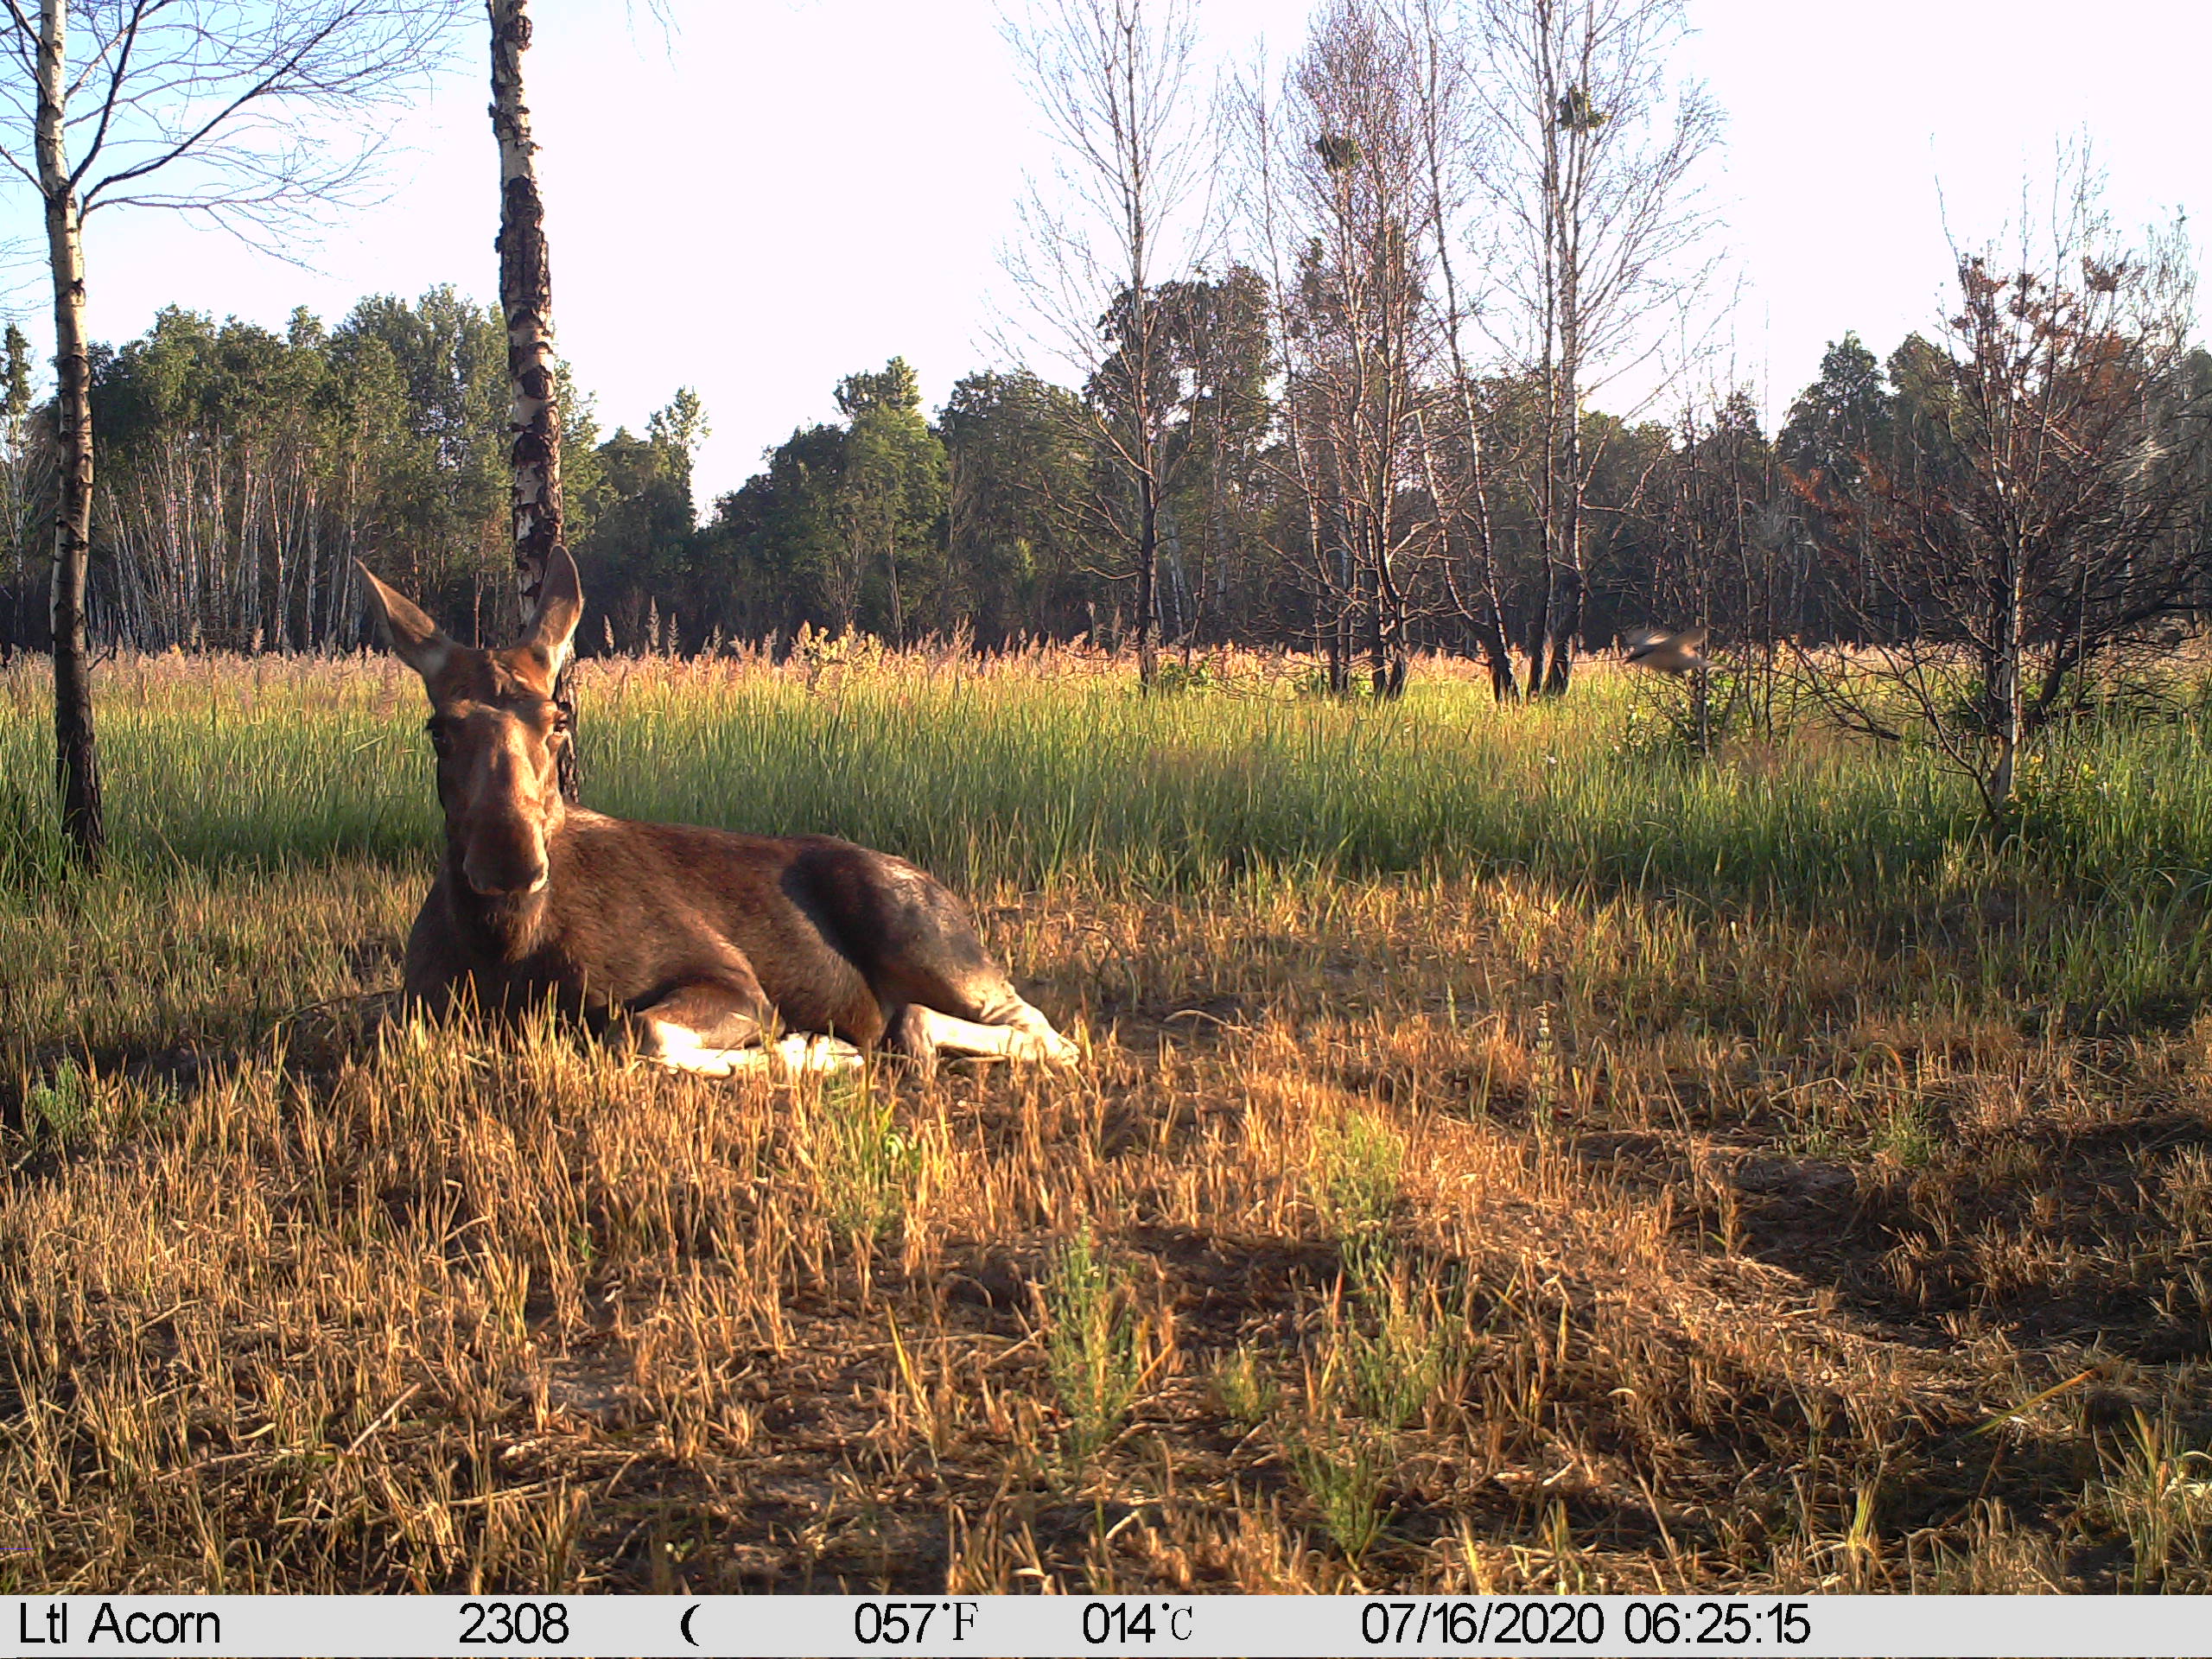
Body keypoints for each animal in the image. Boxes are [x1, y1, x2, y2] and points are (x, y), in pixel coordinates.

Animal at [358, 545, 1079, 1080]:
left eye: (558, 719)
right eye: (439, 729)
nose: (508, 861)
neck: (506, 943)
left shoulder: (734, 981)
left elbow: (639, 1030)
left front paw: (808, 1049)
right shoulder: (415, 1004)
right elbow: (404, 1038)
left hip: (928, 939)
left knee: (1046, 1032)